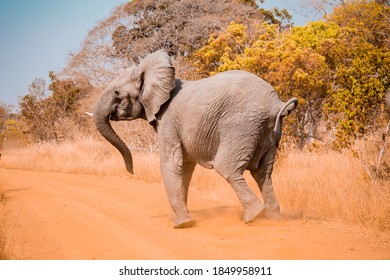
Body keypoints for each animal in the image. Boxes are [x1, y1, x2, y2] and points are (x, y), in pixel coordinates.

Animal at [93, 49, 298, 228]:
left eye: (117, 93)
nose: (131, 172)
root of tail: (276, 103)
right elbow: (185, 166)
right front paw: (177, 217)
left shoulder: (167, 120)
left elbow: (171, 162)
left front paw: (182, 224)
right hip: (268, 132)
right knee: (263, 173)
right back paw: (273, 218)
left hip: (241, 125)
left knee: (227, 168)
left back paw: (253, 216)